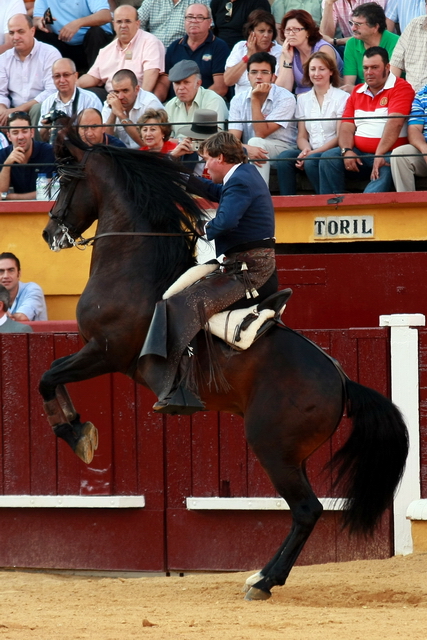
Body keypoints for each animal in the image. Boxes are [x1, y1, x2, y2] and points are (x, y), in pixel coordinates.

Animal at [41, 132, 412, 604]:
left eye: (67, 182)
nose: (50, 232)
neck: (134, 267)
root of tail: (342, 380)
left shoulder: (105, 351)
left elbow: (47, 376)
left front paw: (78, 434)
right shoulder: (98, 353)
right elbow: (51, 373)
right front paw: (79, 431)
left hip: (271, 446)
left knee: (306, 510)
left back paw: (265, 581)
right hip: (291, 455)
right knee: (305, 511)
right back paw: (260, 577)